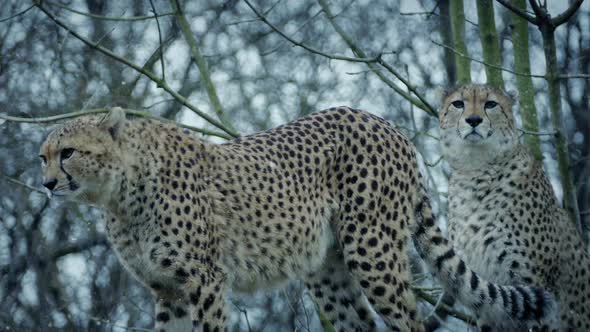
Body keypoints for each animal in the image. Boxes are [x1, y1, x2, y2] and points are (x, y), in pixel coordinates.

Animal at [40, 107, 556, 330]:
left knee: (407, 321)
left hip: (372, 250)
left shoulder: (205, 280)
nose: (45, 184)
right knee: (360, 323)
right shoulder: (166, 289)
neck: (120, 193)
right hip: (326, 269)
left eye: (68, 153)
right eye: (42, 156)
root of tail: (381, 120)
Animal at [440, 84, 590, 330]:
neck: (475, 170)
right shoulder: (490, 295)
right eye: (458, 104)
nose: (473, 120)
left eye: (491, 104)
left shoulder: (536, 286)